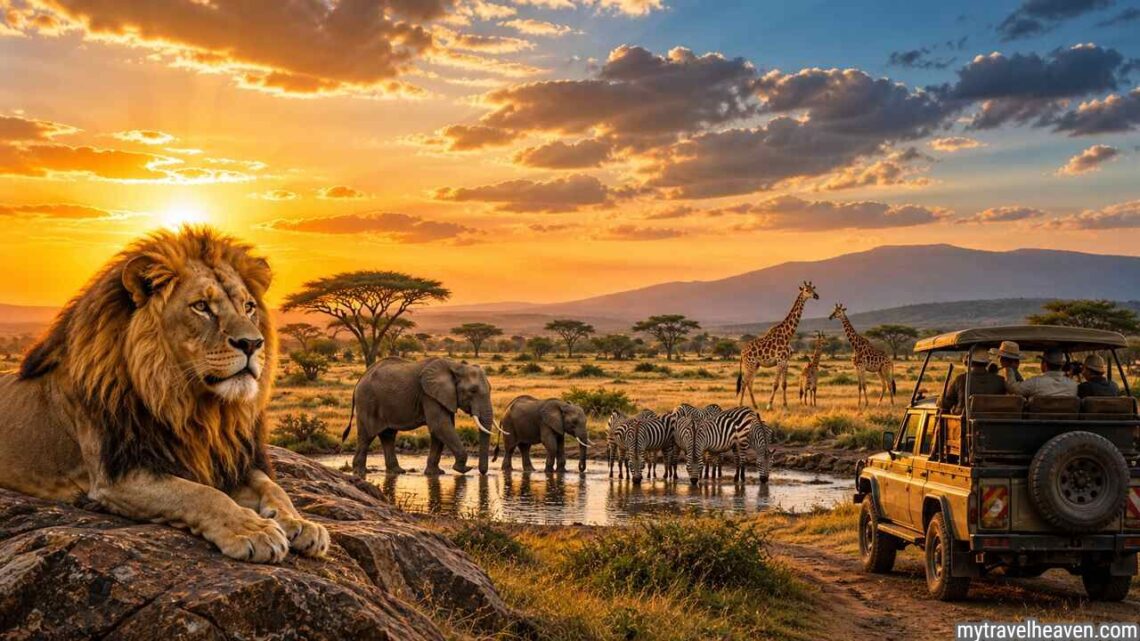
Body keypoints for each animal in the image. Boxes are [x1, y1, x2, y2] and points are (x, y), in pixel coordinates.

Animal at [0, 226, 328, 563]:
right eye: (201, 306)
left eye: (248, 307)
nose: (252, 343)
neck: (191, 405)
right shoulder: (117, 477)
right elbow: (202, 495)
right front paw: (252, 531)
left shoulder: (228, 459)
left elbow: (273, 487)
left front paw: (302, 523)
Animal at [342, 357, 502, 477]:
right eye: (473, 391)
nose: (482, 473)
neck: (456, 366)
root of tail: (359, 380)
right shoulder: (429, 395)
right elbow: (440, 426)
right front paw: (463, 469)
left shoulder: (443, 397)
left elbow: (440, 430)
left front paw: (435, 473)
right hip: (367, 401)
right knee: (367, 436)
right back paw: (360, 472)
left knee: (388, 435)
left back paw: (397, 471)